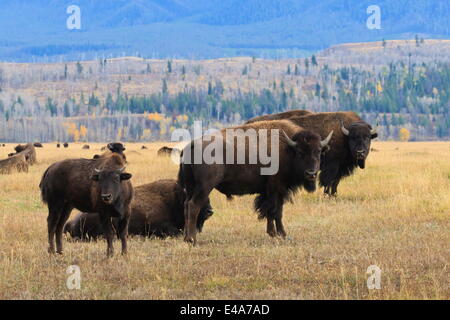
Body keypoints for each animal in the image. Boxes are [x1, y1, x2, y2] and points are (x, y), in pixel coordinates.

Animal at [178, 120, 332, 245]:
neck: (287, 148)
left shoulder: (273, 191)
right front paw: (278, 234)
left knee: (186, 205)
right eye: (300, 152)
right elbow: (275, 211)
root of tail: (191, 145)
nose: (311, 174)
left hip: (191, 186)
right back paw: (192, 239)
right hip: (204, 187)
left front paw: (278, 234)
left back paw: (186, 238)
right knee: (194, 206)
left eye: (319, 151)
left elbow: (274, 211)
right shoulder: (276, 188)